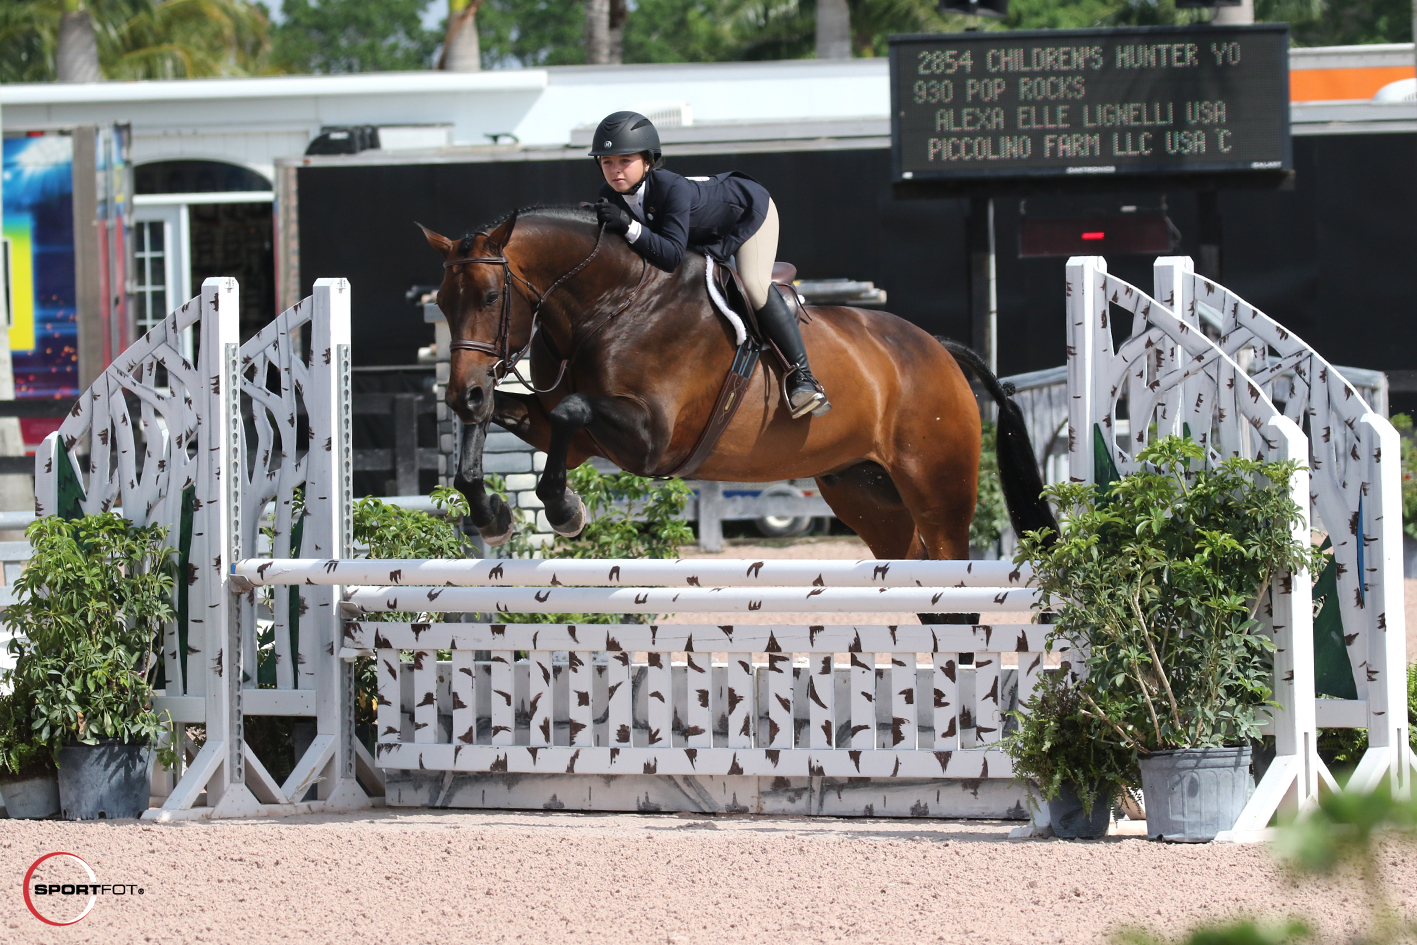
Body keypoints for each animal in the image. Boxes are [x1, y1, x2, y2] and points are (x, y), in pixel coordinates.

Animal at [419, 208, 1054, 583]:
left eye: (492, 295)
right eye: (443, 303)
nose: (462, 394)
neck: (610, 304)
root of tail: (939, 350)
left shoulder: (650, 437)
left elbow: (574, 412)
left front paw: (565, 510)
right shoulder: (570, 436)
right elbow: (510, 426)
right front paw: (491, 513)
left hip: (939, 490)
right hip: (865, 492)